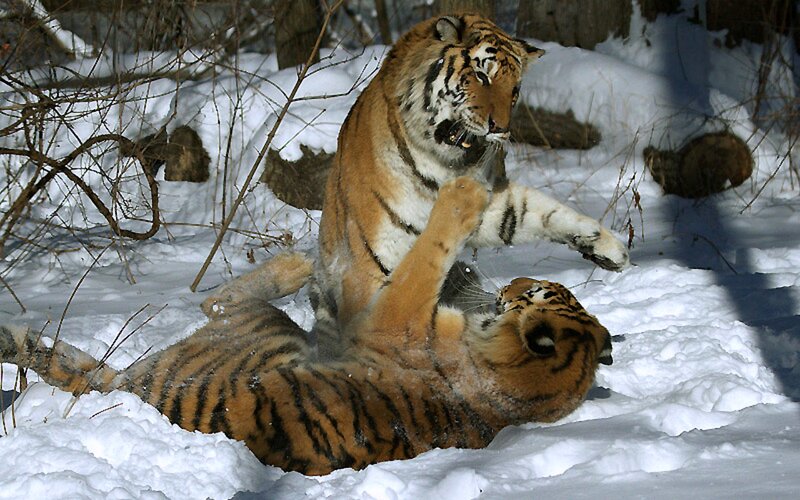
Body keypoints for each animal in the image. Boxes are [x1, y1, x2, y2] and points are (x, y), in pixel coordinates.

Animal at [1, 177, 613, 476]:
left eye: (532, 294)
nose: (515, 283)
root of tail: (132, 390)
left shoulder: (394, 314)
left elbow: (425, 256)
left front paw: (463, 196)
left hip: (260, 333)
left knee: (216, 305)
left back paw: (293, 268)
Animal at [313, 13, 629, 353]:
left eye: (515, 89)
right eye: (481, 76)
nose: (500, 129)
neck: (442, 162)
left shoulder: (489, 203)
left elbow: (535, 211)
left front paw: (608, 247)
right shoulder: (366, 267)